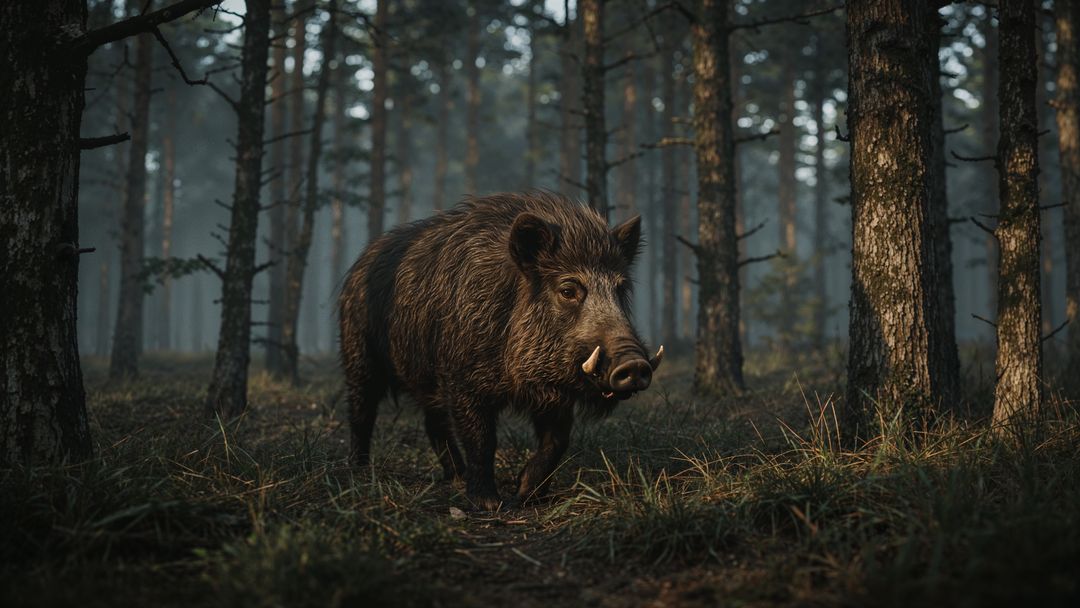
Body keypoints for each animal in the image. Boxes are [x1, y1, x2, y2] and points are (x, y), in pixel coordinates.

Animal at [338, 192, 662, 510]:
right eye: (568, 290)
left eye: (620, 289)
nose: (635, 365)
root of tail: (359, 263)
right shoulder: (464, 381)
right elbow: (482, 440)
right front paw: (489, 503)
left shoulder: (555, 391)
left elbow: (557, 439)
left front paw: (527, 494)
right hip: (358, 355)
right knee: (362, 411)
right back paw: (359, 471)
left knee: (433, 422)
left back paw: (456, 477)